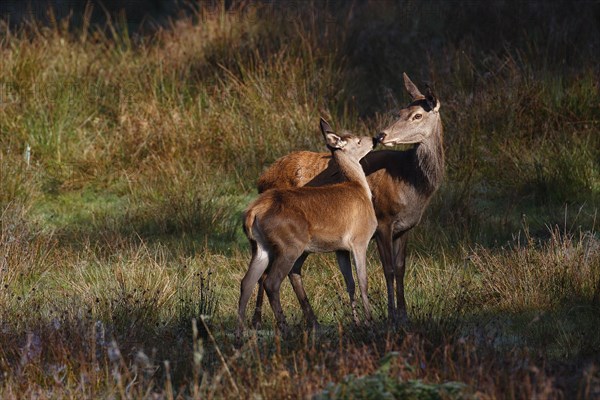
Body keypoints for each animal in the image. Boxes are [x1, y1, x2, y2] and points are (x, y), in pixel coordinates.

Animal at [238, 117, 376, 336]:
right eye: (358, 140)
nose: (375, 139)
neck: (360, 189)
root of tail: (253, 212)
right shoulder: (360, 239)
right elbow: (363, 281)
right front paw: (370, 322)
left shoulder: (340, 248)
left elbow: (350, 283)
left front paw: (357, 322)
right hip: (290, 245)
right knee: (271, 282)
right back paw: (284, 327)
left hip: (259, 246)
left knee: (247, 281)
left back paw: (241, 330)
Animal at [255, 74, 442, 324]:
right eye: (400, 112)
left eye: (417, 115)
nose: (382, 135)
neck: (411, 181)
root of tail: (261, 179)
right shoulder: (383, 221)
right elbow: (388, 269)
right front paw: (391, 315)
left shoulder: (405, 227)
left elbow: (401, 268)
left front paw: (404, 315)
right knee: (267, 273)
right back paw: (259, 320)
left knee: (291, 270)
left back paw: (310, 320)